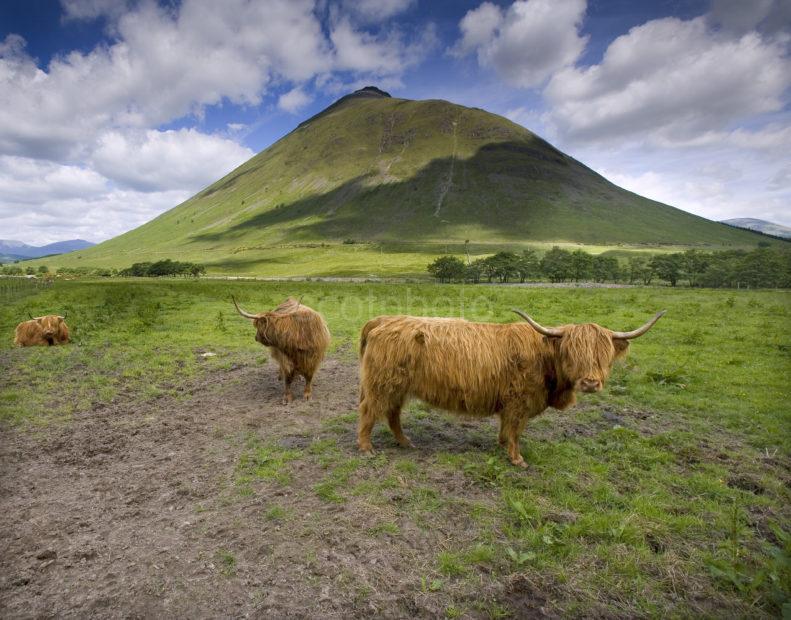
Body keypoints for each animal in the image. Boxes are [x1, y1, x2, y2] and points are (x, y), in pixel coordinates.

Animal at [358, 308, 664, 468]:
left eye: (603, 355)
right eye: (571, 352)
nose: (590, 382)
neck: (545, 359)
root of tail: (382, 320)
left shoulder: (511, 404)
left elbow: (508, 429)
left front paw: (503, 445)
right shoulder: (519, 402)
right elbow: (516, 430)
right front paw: (517, 459)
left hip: (397, 387)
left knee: (392, 414)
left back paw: (405, 442)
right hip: (381, 385)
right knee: (369, 412)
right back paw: (367, 448)